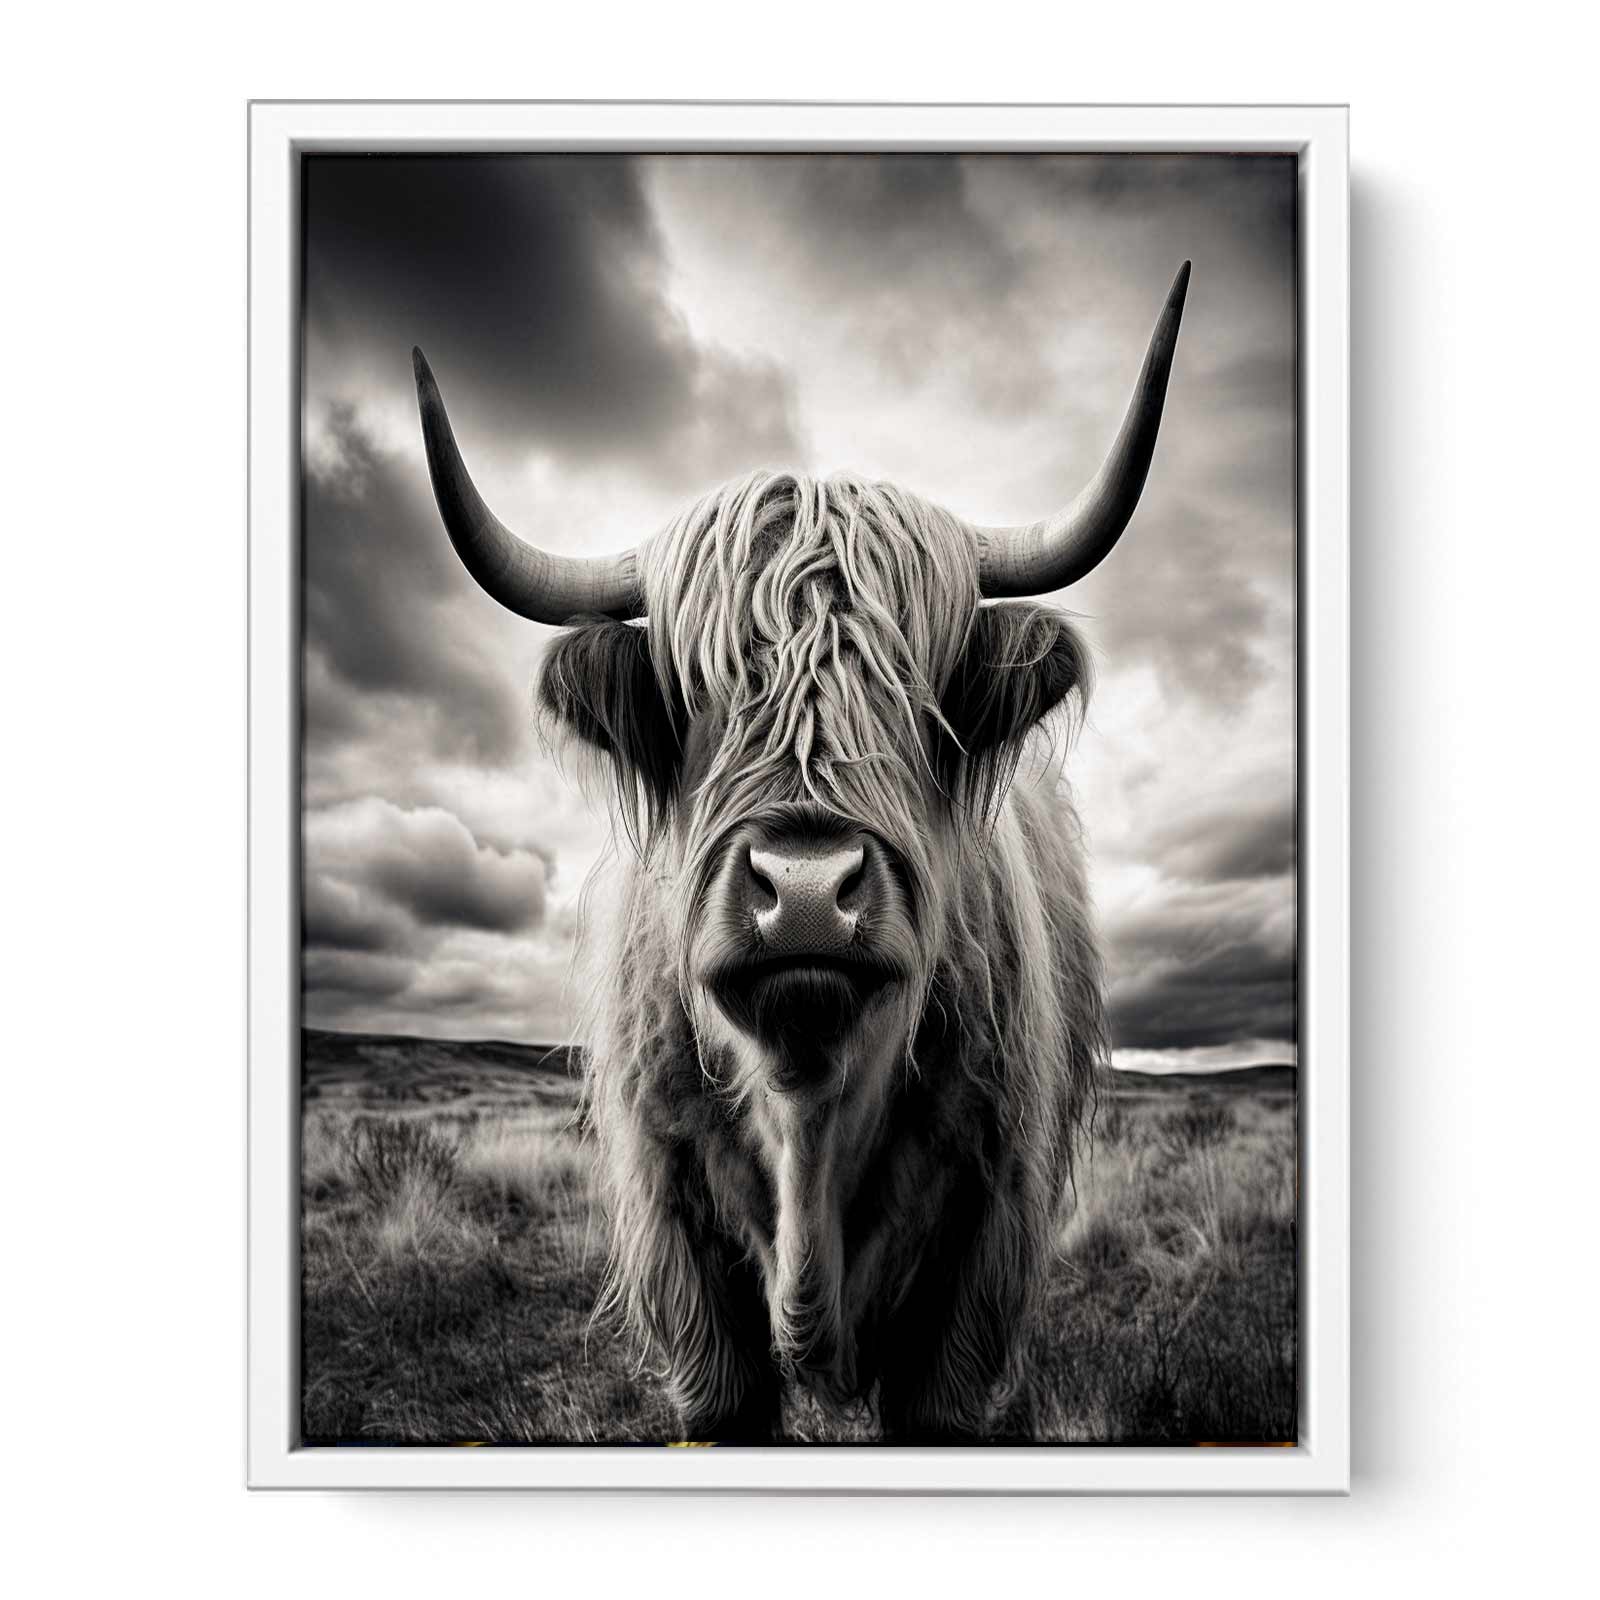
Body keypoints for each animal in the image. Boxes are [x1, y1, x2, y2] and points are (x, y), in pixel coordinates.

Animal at [410, 262, 1189, 1441]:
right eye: (698, 698)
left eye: (914, 700)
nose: (810, 892)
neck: (809, 1110)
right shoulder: (686, 1266)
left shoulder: (974, 1265)